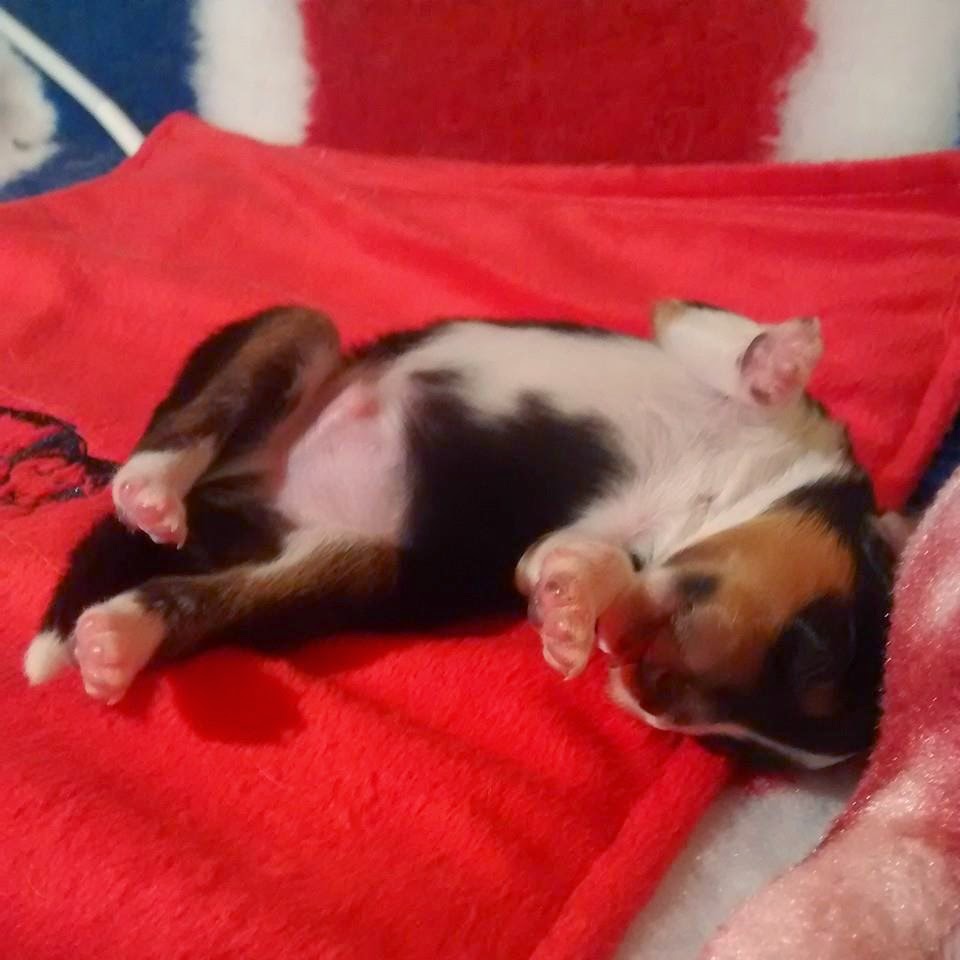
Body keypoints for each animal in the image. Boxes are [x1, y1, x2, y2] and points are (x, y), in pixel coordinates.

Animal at [23, 300, 901, 768]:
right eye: (816, 648)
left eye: (732, 752)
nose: (643, 694)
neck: (736, 488)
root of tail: (230, 499)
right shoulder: (708, 348)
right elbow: (720, 342)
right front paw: (780, 357)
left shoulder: (596, 544)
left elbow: (578, 562)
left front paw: (568, 617)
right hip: (297, 334)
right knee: (184, 427)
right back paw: (148, 489)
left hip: (348, 564)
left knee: (195, 600)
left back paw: (116, 640)